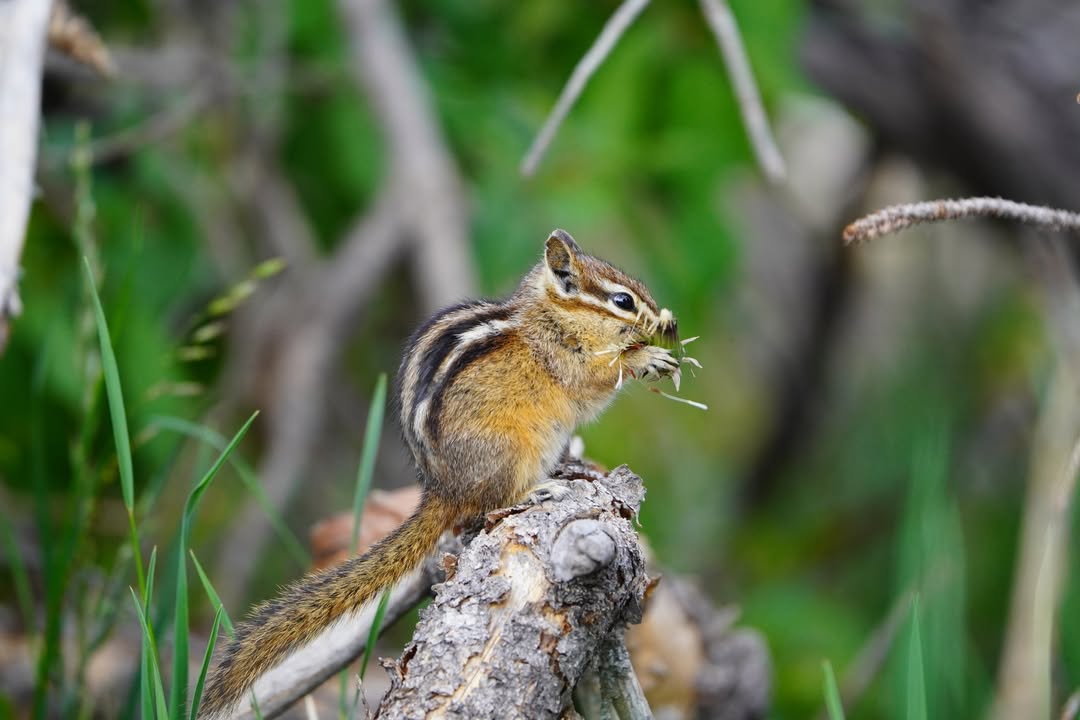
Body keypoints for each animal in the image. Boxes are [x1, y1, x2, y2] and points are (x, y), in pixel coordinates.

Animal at [199, 229, 680, 718]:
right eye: (623, 301)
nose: (666, 321)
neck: (552, 316)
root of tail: (443, 488)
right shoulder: (566, 359)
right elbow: (595, 377)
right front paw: (646, 358)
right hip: (513, 451)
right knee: (493, 503)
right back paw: (540, 489)